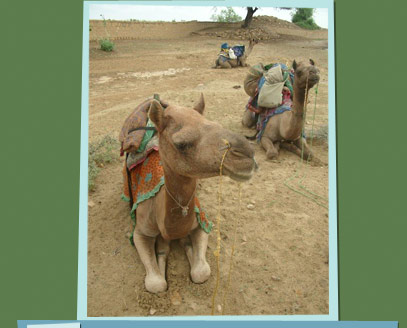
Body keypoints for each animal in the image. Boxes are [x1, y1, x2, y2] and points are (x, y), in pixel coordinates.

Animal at [127, 94, 256, 292]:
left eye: (216, 124)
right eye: (181, 144)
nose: (247, 154)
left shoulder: (201, 222)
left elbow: (201, 272)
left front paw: (185, 243)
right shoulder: (140, 232)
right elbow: (156, 284)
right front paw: (163, 251)